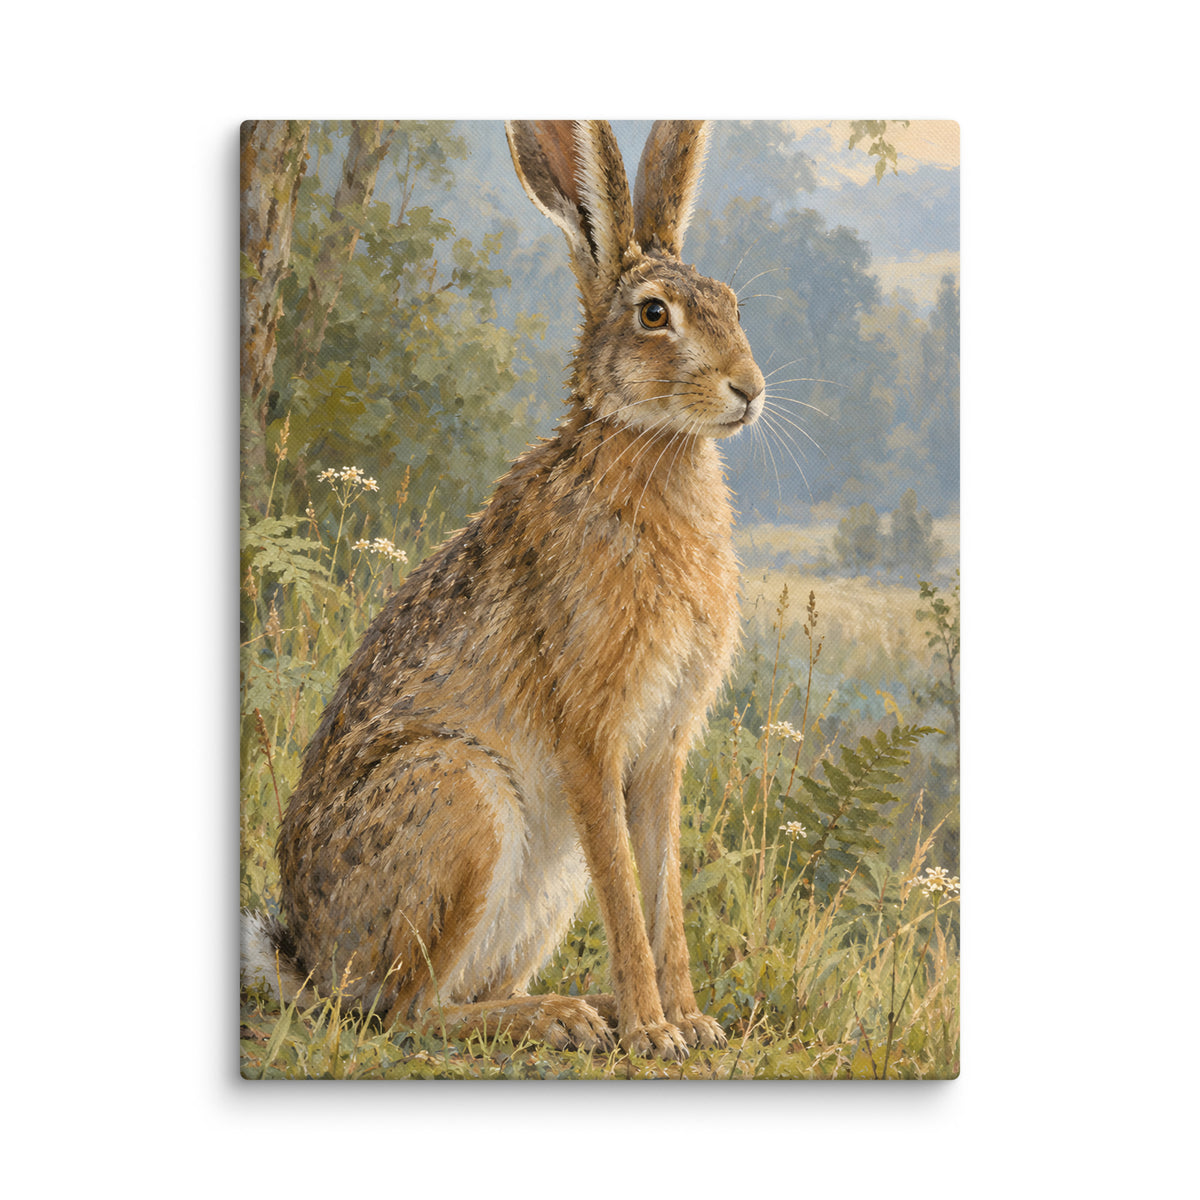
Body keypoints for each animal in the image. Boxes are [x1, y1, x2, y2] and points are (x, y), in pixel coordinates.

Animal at [242, 120, 765, 1060]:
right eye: (654, 315)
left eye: (733, 305)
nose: (748, 389)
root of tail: (310, 962)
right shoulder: (590, 734)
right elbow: (627, 893)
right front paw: (652, 1031)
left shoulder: (662, 750)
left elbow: (663, 894)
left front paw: (691, 1023)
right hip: (462, 804)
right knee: (408, 1012)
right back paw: (565, 1017)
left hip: (539, 885)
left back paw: (575, 1011)